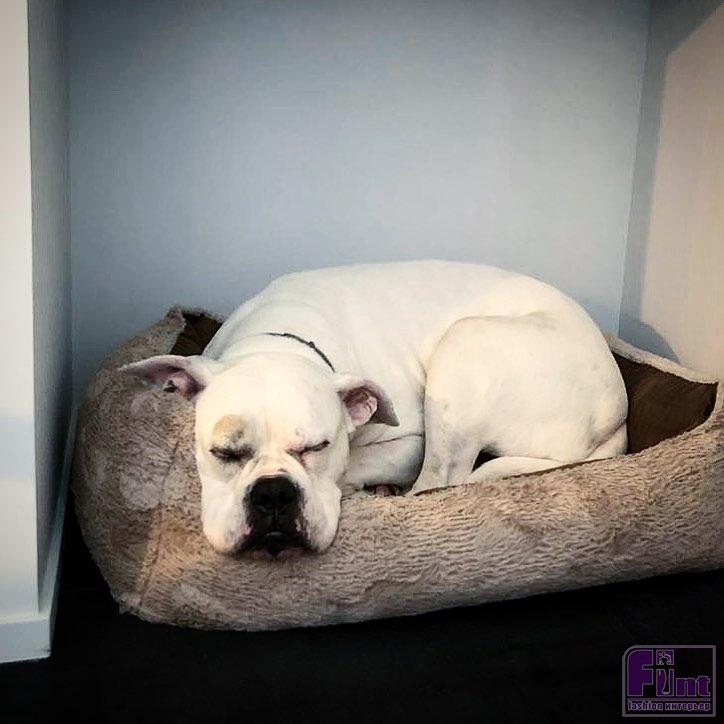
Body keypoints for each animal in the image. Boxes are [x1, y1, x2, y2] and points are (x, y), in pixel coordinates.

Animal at [124, 261, 627, 557]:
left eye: (318, 447)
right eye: (224, 453)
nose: (272, 494)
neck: (280, 338)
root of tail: (616, 416)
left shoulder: (409, 442)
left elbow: (355, 467)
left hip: (465, 343)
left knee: (438, 482)